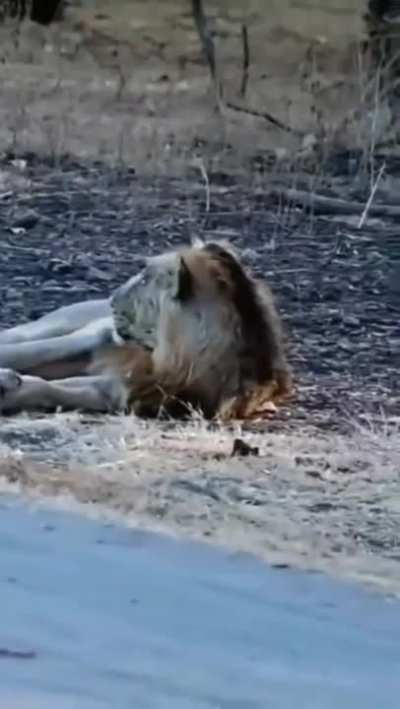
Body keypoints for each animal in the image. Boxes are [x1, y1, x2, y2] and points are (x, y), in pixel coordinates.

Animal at [0, 239, 292, 420]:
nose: (112, 298)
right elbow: (30, 352)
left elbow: (47, 388)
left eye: (143, 280)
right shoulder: (98, 337)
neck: (166, 358)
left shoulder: (120, 391)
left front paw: (10, 389)